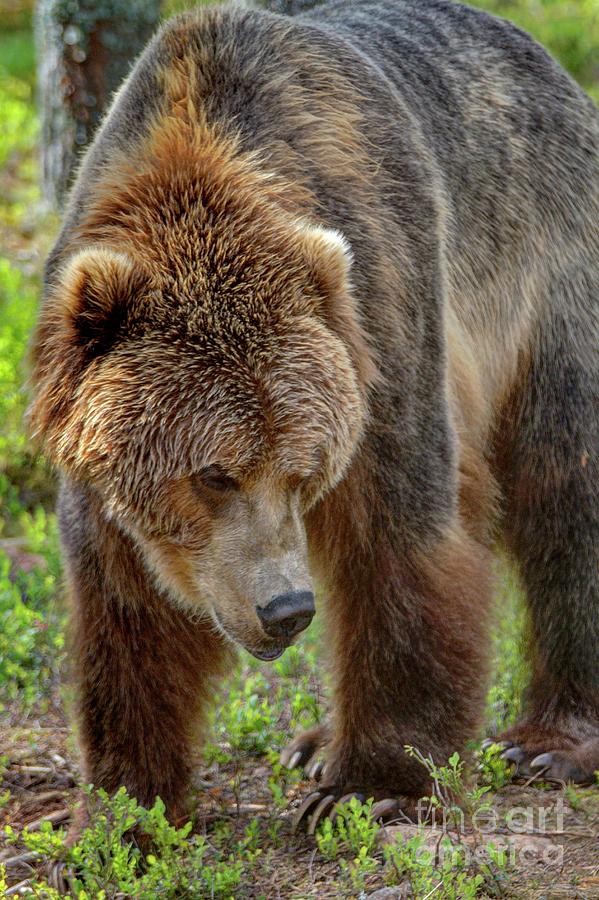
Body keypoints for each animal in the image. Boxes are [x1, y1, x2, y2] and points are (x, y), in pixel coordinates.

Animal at [29, 0, 599, 828]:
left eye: (300, 471)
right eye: (214, 474)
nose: (286, 608)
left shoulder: (384, 325)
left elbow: (400, 541)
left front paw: (374, 784)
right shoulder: (98, 442)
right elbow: (125, 603)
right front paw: (127, 804)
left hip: (546, 274)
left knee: (564, 482)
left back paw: (550, 740)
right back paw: (313, 739)